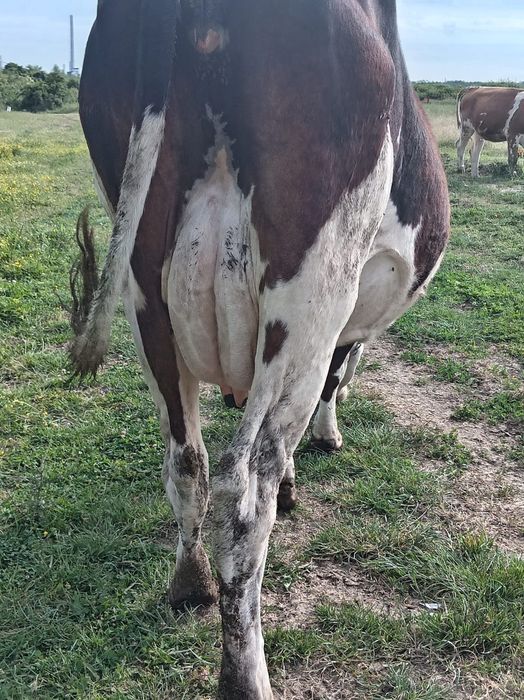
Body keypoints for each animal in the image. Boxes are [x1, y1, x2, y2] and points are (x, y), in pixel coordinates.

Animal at [70, 1, 450, 697]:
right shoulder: (337, 328)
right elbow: (333, 382)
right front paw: (322, 444)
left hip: (144, 292)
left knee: (185, 459)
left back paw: (189, 582)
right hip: (309, 291)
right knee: (244, 487)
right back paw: (245, 676)